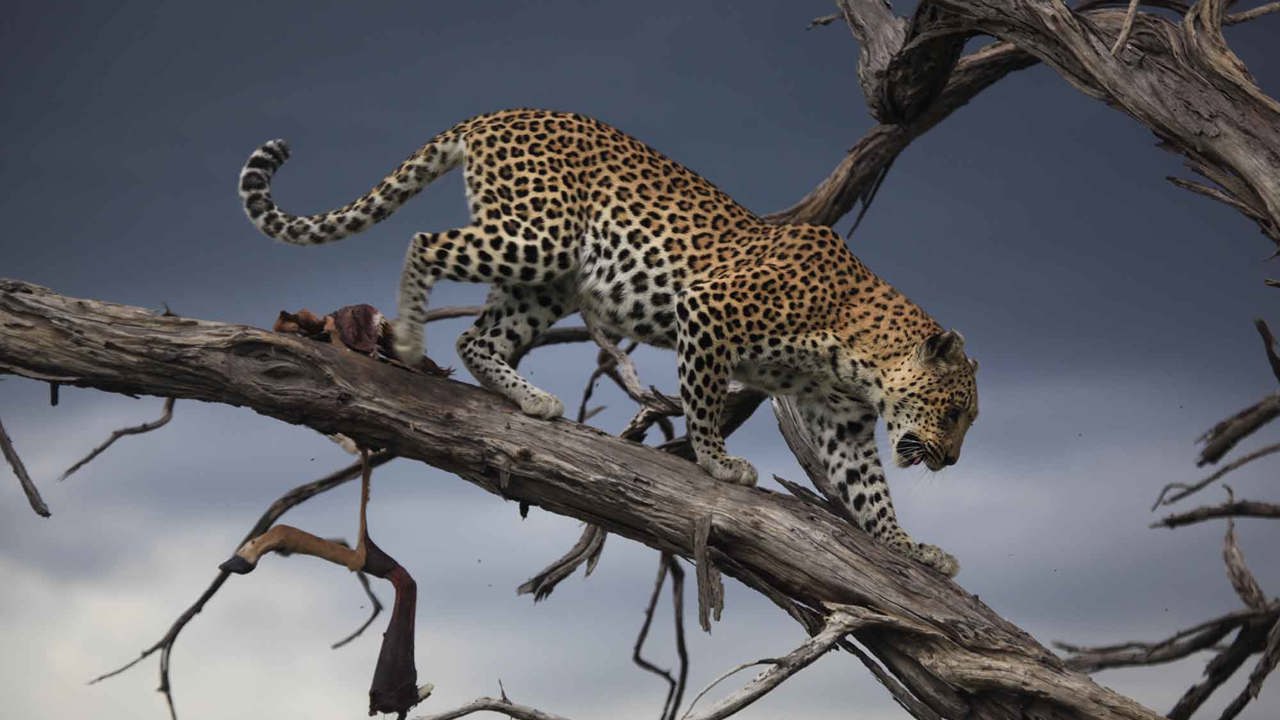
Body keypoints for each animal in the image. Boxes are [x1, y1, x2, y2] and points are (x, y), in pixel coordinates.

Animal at [238, 109, 978, 576]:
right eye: (951, 413)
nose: (949, 462)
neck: (861, 359)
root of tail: (497, 114)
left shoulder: (841, 423)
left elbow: (871, 495)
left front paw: (914, 550)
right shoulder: (707, 310)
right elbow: (704, 403)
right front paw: (718, 464)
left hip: (549, 279)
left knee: (480, 338)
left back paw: (532, 400)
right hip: (535, 237)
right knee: (424, 244)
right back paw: (414, 338)